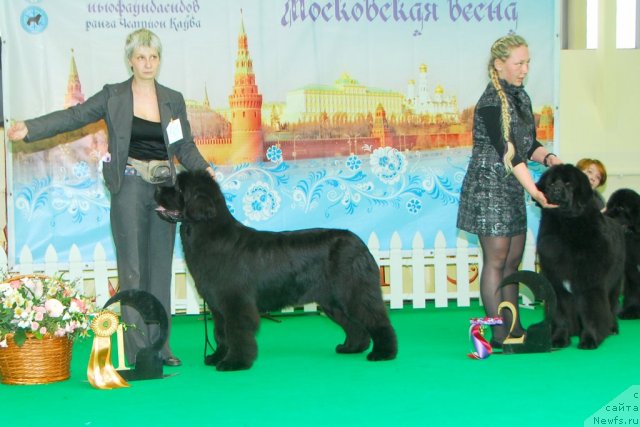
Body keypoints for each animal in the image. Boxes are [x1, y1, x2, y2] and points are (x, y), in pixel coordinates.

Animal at [155, 171, 396, 372]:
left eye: (178, 189)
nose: (156, 189)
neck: (208, 233)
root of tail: (359, 242)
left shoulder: (235, 302)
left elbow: (236, 332)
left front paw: (234, 362)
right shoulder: (218, 306)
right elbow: (221, 333)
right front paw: (216, 357)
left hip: (353, 292)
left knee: (377, 320)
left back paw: (383, 353)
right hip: (333, 301)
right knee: (354, 325)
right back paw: (351, 348)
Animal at [536, 166, 624, 350]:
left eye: (568, 183)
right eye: (551, 183)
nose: (556, 190)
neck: (566, 225)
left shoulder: (590, 283)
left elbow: (591, 312)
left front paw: (590, 339)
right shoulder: (556, 283)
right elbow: (561, 315)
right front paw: (559, 339)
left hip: (615, 283)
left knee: (612, 306)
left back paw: (612, 328)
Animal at [604, 189, 640, 320]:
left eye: (621, 207)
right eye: (609, 206)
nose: (605, 215)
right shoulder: (631, 271)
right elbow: (633, 292)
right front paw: (632, 310)